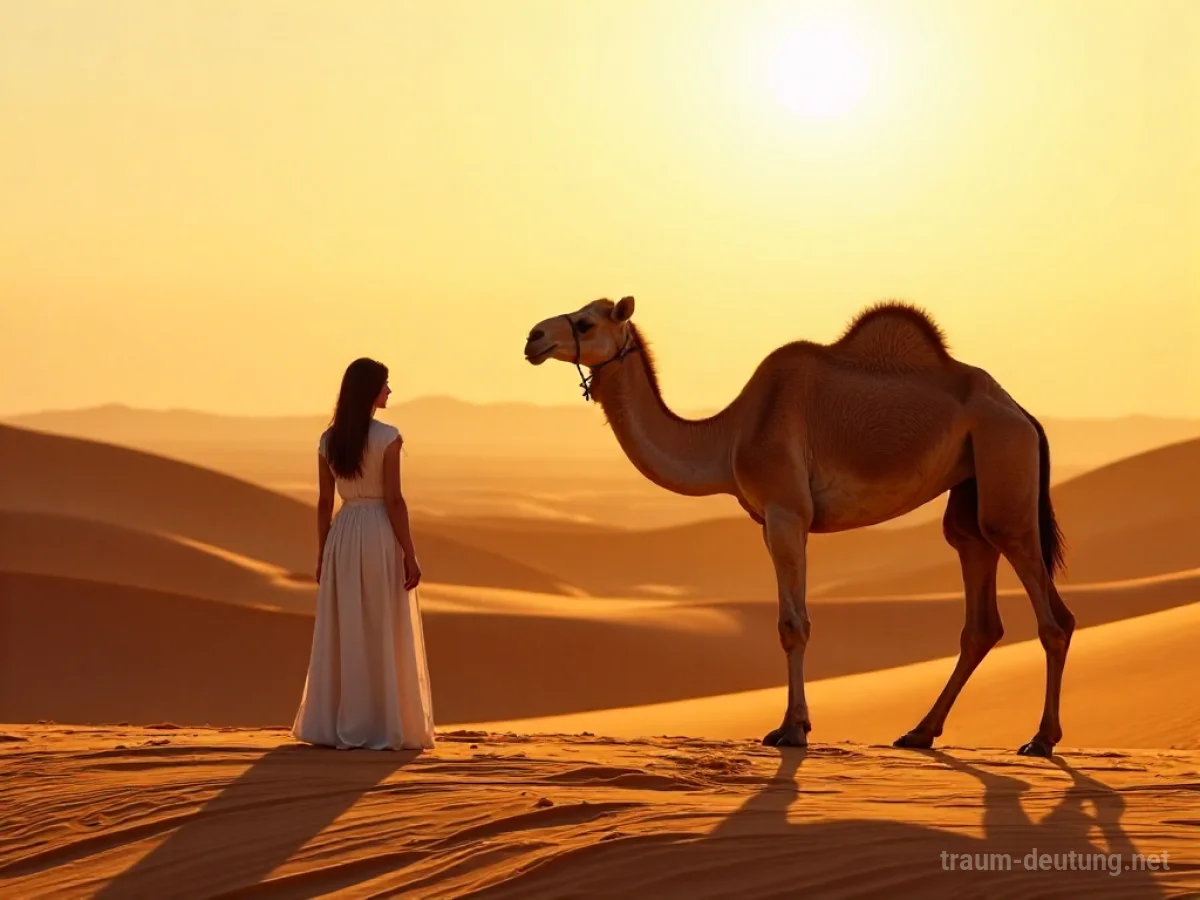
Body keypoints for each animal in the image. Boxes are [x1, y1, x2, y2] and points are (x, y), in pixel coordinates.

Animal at [523, 296, 1075, 757]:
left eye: (585, 322)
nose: (533, 336)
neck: (730, 435)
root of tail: (1023, 414)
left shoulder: (787, 512)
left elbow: (793, 625)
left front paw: (791, 729)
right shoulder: (772, 519)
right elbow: (792, 620)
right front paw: (796, 725)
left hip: (1004, 468)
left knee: (1051, 614)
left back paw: (1041, 740)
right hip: (971, 492)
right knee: (982, 605)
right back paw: (920, 733)